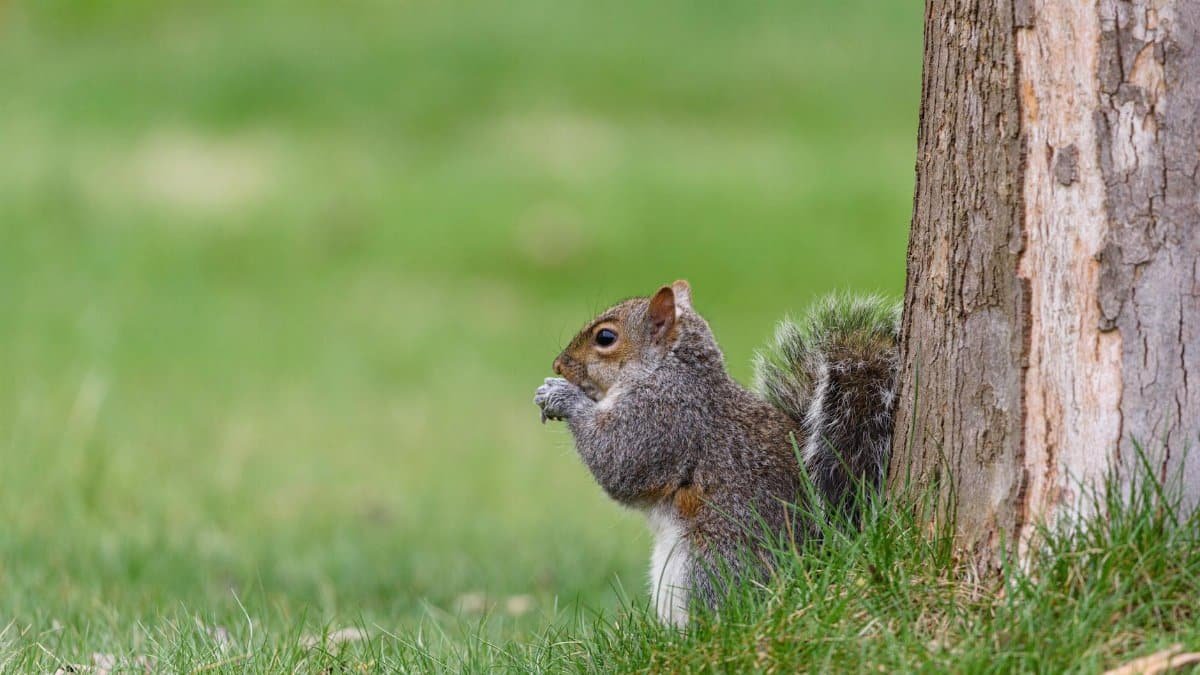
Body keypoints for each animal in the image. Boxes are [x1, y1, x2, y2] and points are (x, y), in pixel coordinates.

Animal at [534, 280, 899, 626]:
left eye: (606, 337)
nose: (558, 365)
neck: (668, 371)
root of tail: (814, 565)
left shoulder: (662, 418)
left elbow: (618, 462)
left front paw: (562, 396)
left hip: (713, 563)